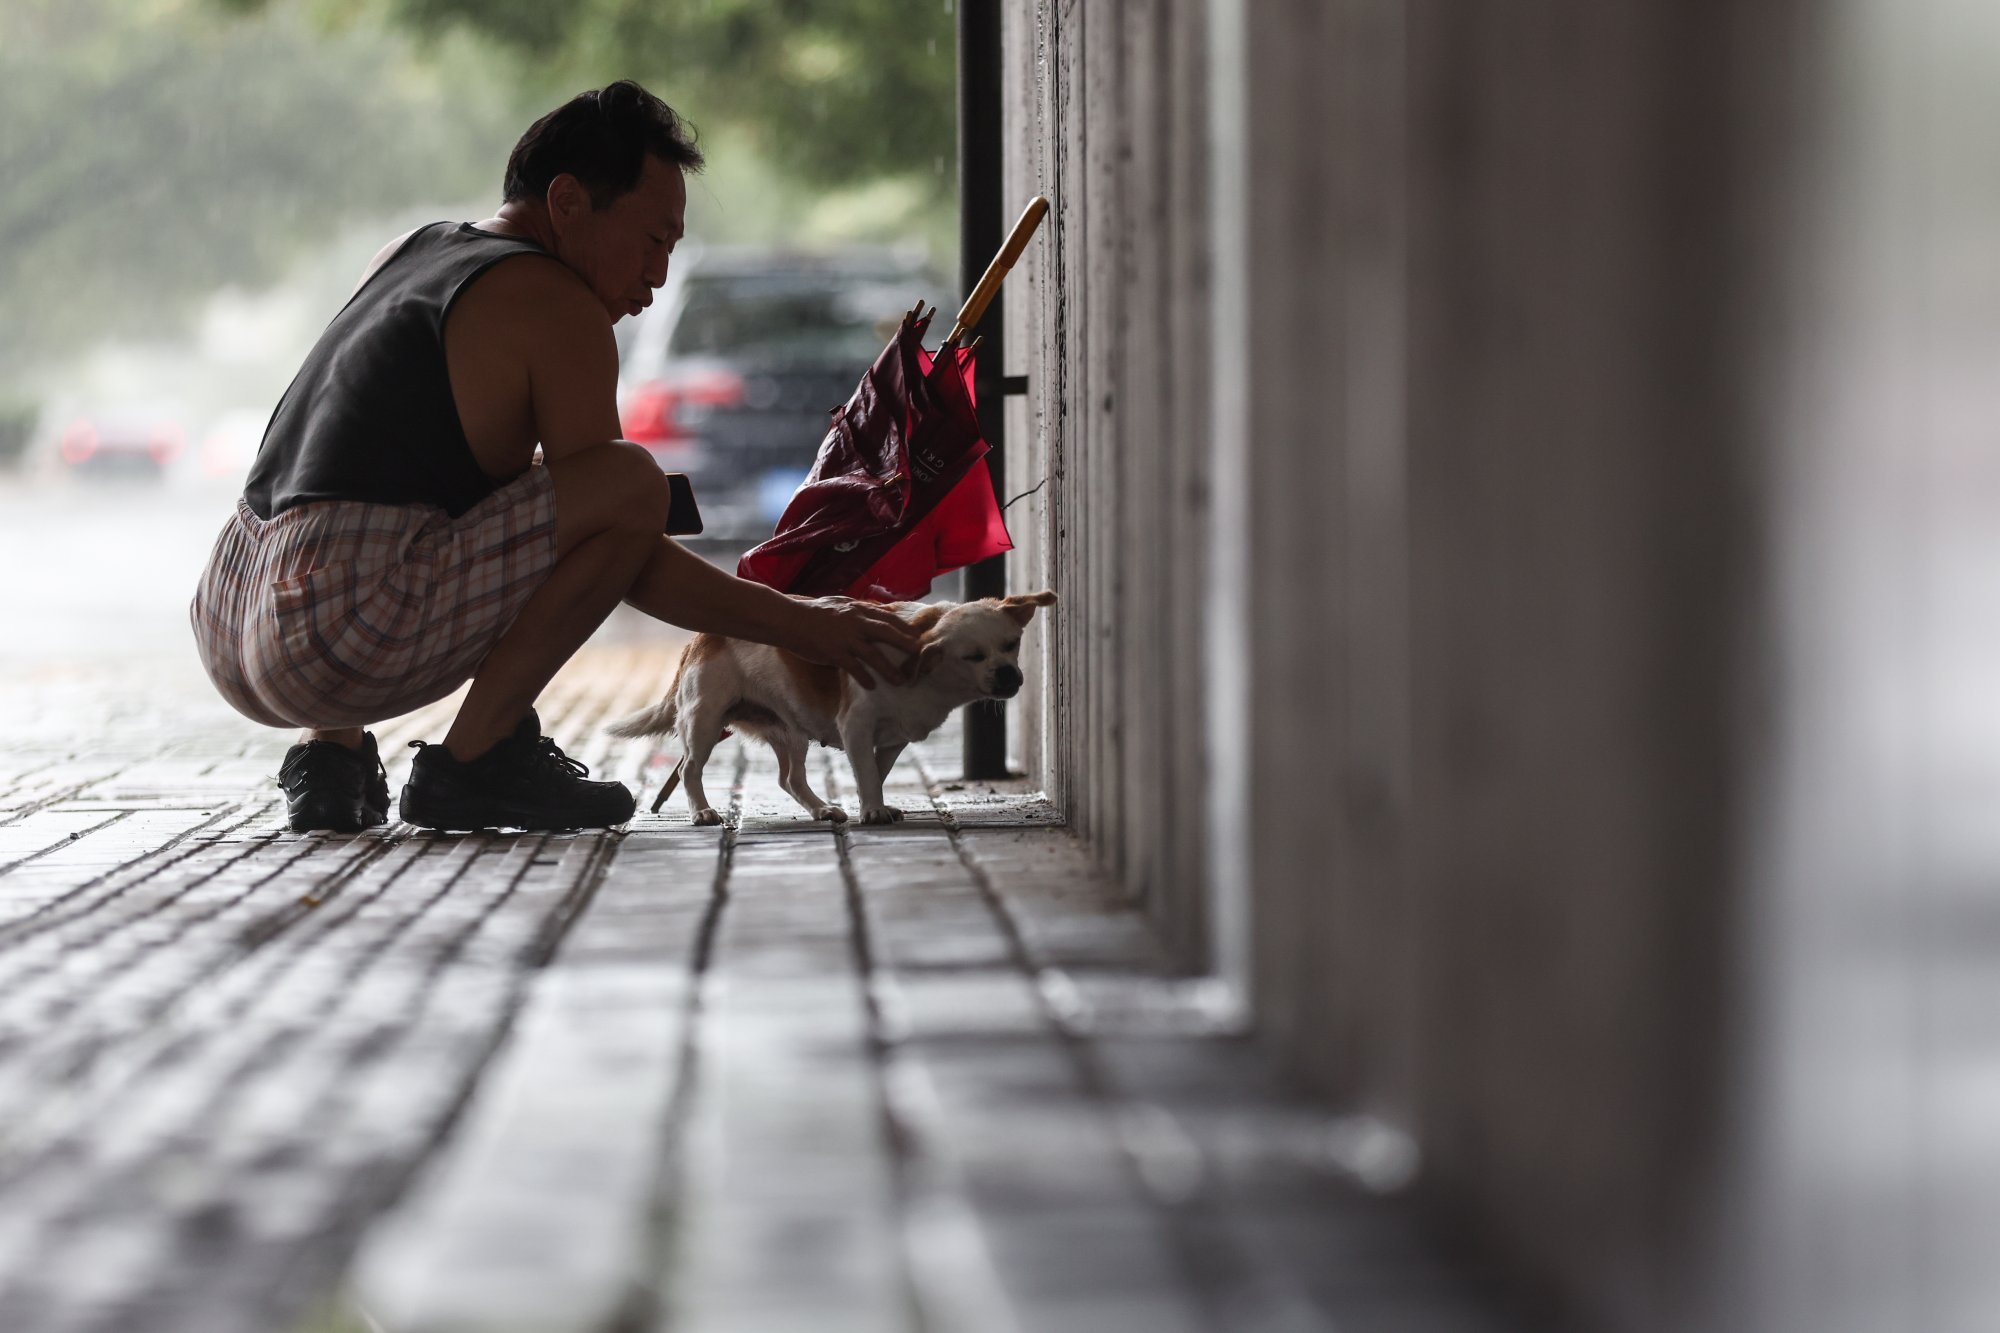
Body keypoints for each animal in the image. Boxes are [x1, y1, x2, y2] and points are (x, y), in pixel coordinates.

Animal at [600, 592, 1056, 820]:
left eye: (1011, 644)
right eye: (972, 656)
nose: (1009, 675)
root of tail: (698, 637)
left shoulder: (892, 740)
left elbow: (876, 771)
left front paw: (873, 804)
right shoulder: (857, 727)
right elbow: (867, 773)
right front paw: (872, 811)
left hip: (791, 731)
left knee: (789, 778)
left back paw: (821, 809)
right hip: (705, 722)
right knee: (688, 769)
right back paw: (703, 812)